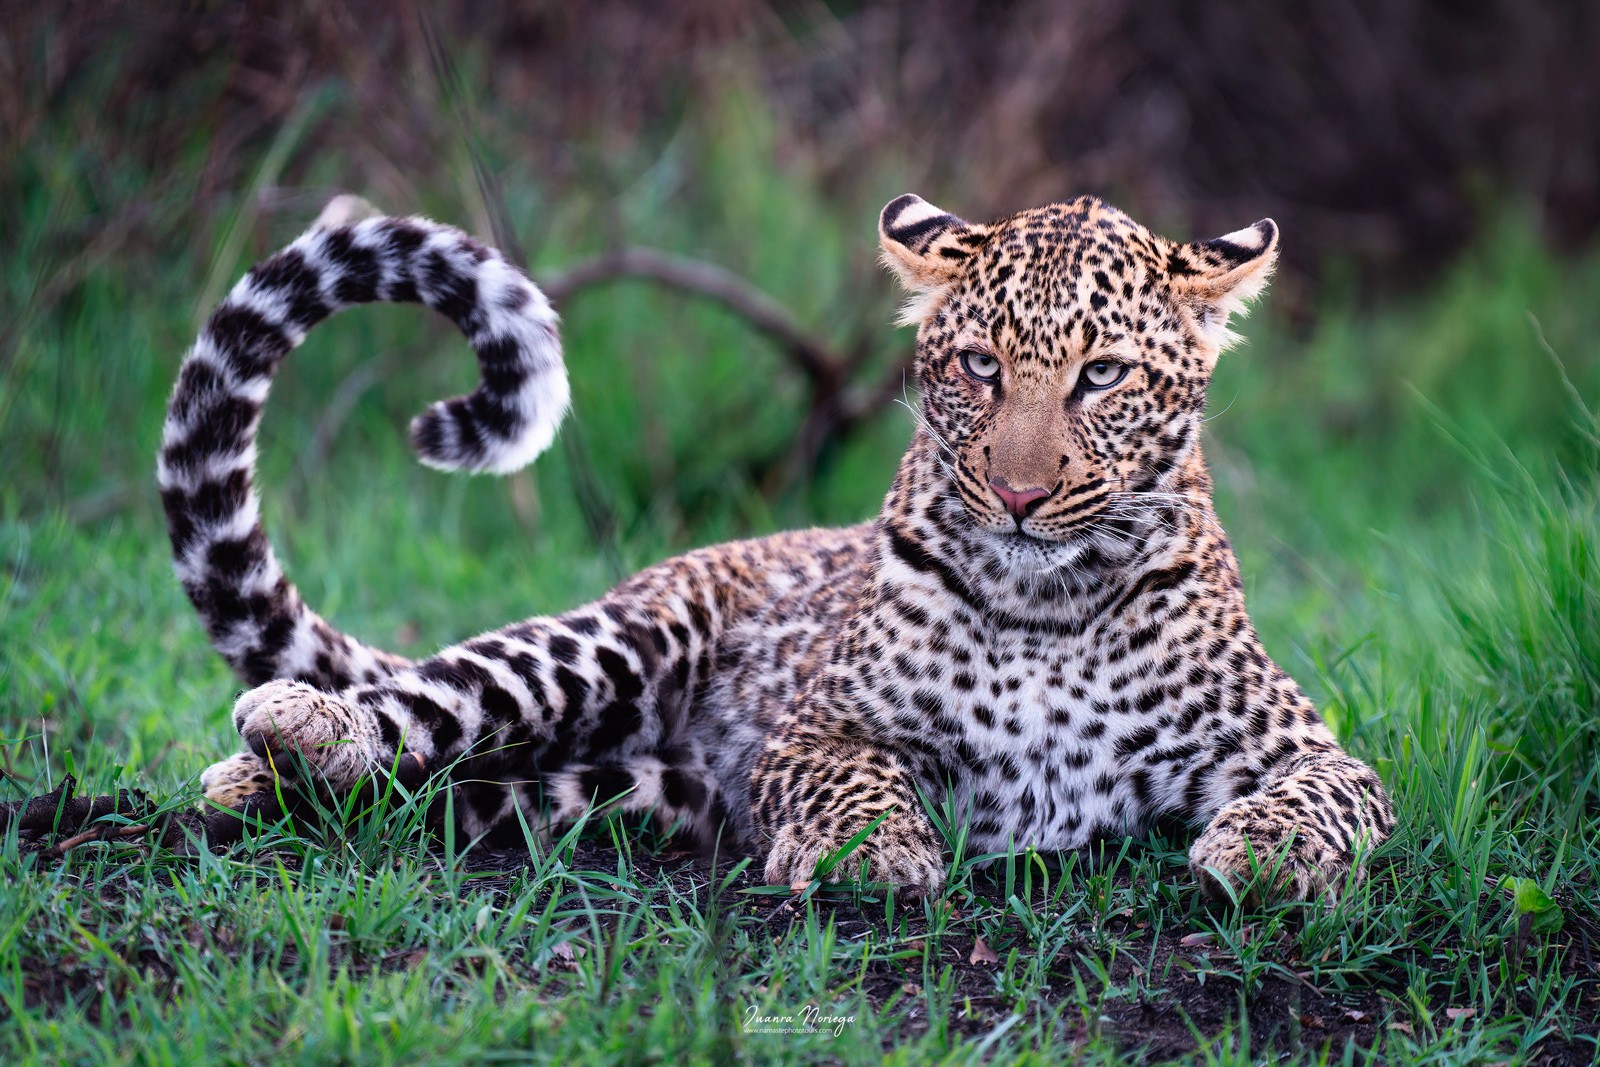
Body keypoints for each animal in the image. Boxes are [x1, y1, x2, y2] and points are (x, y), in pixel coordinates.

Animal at [165, 191, 1394, 901]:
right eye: (979, 366)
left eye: (1102, 375)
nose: (1017, 493)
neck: (1045, 605)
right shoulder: (818, 726)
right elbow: (852, 776)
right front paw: (871, 855)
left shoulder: (1303, 742)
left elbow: (1332, 795)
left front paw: (1261, 852)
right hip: (613, 643)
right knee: (424, 695)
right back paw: (288, 733)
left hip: (613, 785)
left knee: (453, 782)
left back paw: (281, 778)